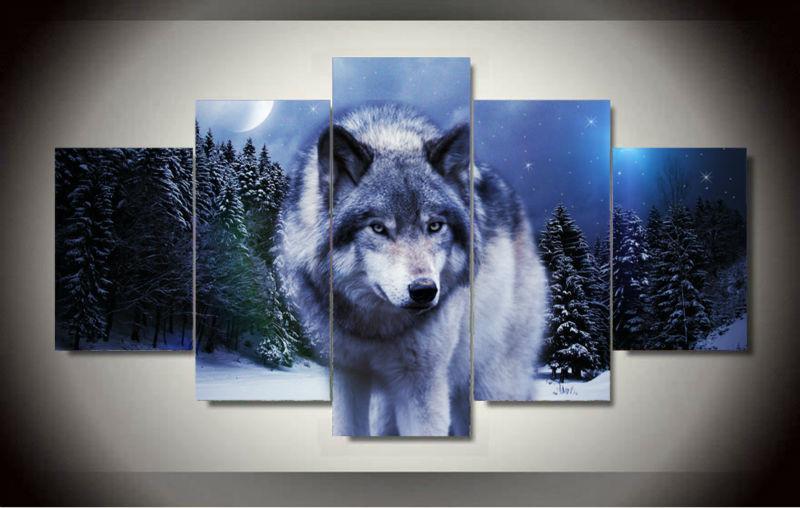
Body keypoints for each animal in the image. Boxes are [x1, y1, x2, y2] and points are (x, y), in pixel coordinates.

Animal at [279, 104, 547, 436]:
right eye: (378, 228)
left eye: (434, 226)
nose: (424, 291)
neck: (375, 329)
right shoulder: (345, 373)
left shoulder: (422, 383)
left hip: (491, 380)